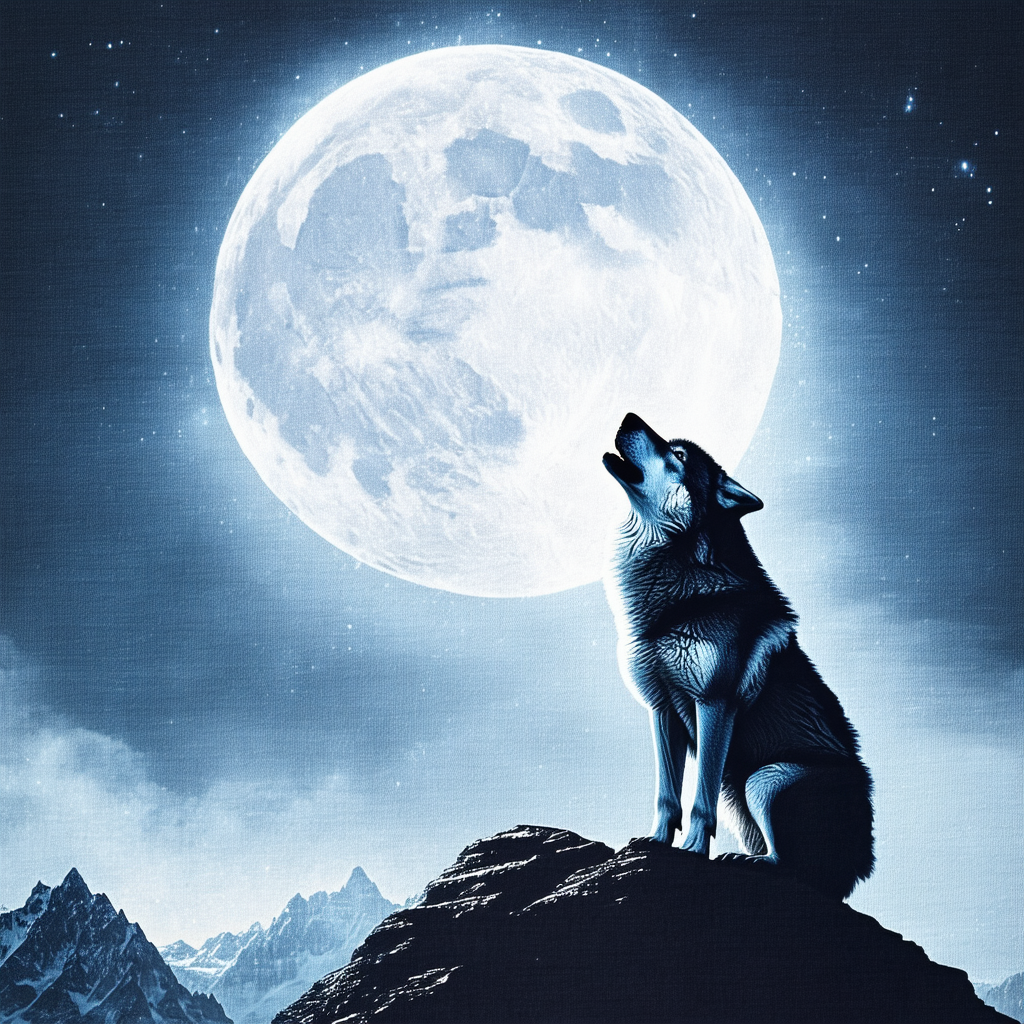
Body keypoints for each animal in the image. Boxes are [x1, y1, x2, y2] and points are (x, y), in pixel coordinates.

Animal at [603, 413, 874, 899]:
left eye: (678, 454)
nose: (628, 416)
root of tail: (857, 872)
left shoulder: (715, 704)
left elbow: (699, 797)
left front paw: (693, 850)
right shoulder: (661, 709)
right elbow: (667, 793)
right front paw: (654, 842)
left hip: (763, 779)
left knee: (790, 867)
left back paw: (748, 860)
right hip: (742, 792)